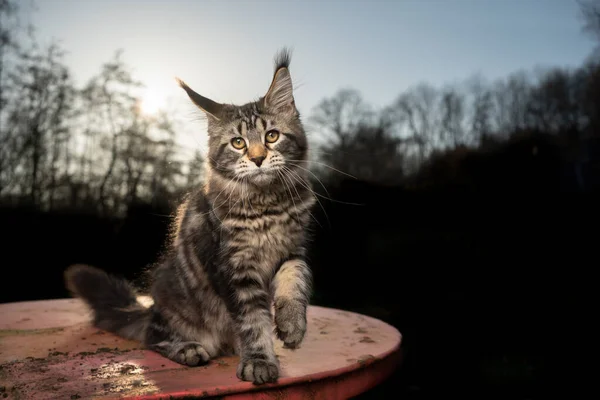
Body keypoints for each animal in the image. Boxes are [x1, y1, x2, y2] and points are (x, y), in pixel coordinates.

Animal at [64, 48, 318, 386]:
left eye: (272, 136)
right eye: (238, 143)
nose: (258, 159)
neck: (266, 205)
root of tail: (152, 309)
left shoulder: (293, 248)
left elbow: (295, 281)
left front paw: (292, 327)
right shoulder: (232, 267)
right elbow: (253, 320)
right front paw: (259, 361)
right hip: (172, 303)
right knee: (153, 337)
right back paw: (188, 349)